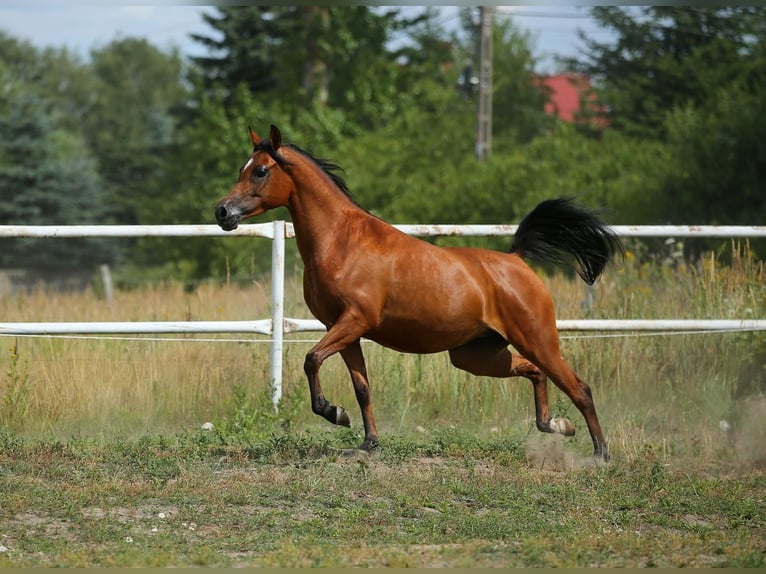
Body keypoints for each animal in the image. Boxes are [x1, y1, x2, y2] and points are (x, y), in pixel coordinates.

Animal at [214, 125, 624, 464]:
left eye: (260, 170)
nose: (222, 212)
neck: (341, 242)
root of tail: (515, 259)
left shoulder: (354, 321)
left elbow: (311, 359)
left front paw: (334, 413)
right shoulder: (344, 331)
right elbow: (362, 387)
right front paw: (367, 444)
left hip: (537, 339)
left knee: (579, 387)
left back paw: (600, 455)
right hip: (475, 355)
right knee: (536, 373)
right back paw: (557, 426)